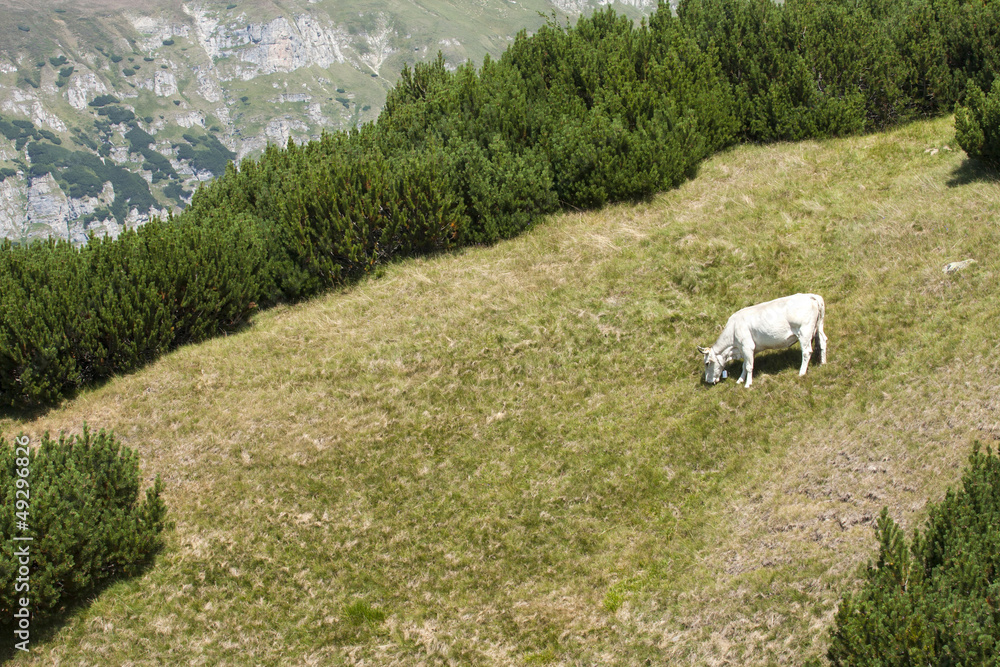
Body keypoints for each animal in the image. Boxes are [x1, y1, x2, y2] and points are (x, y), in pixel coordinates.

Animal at [696, 294, 828, 388]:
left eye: (707, 363)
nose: (708, 381)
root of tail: (811, 296)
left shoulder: (747, 346)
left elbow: (749, 366)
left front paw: (747, 384)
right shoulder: (745, 349)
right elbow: (744, 366)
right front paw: (740, 380)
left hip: (804, 332)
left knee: (806, 352)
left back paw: (802, 372)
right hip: (818, 327)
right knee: (823, 341)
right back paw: (823, 363)